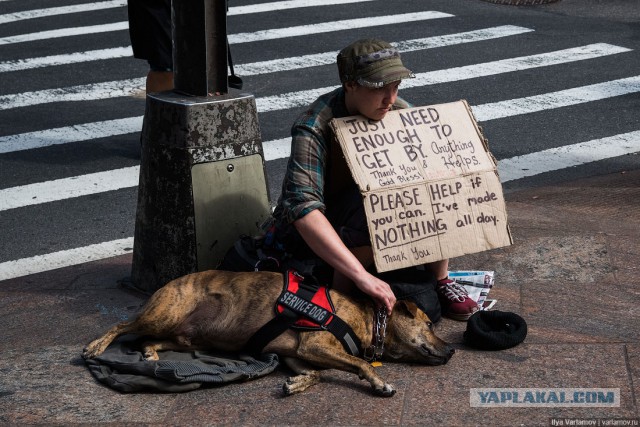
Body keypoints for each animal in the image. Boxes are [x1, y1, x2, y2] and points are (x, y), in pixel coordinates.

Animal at [84, 270, 456, 398]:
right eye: (430, 325)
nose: (452, 349)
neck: (367, 320)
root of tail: (169, 283)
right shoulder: (314, 344)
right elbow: (360, 364)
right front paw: (380, 383)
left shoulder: (298, 353)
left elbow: (317, 374)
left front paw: (298, 384)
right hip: (165, 313)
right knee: (122, 327)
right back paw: (95, 346)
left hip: (182, 333)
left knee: (149, 340)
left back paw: (150, 355)